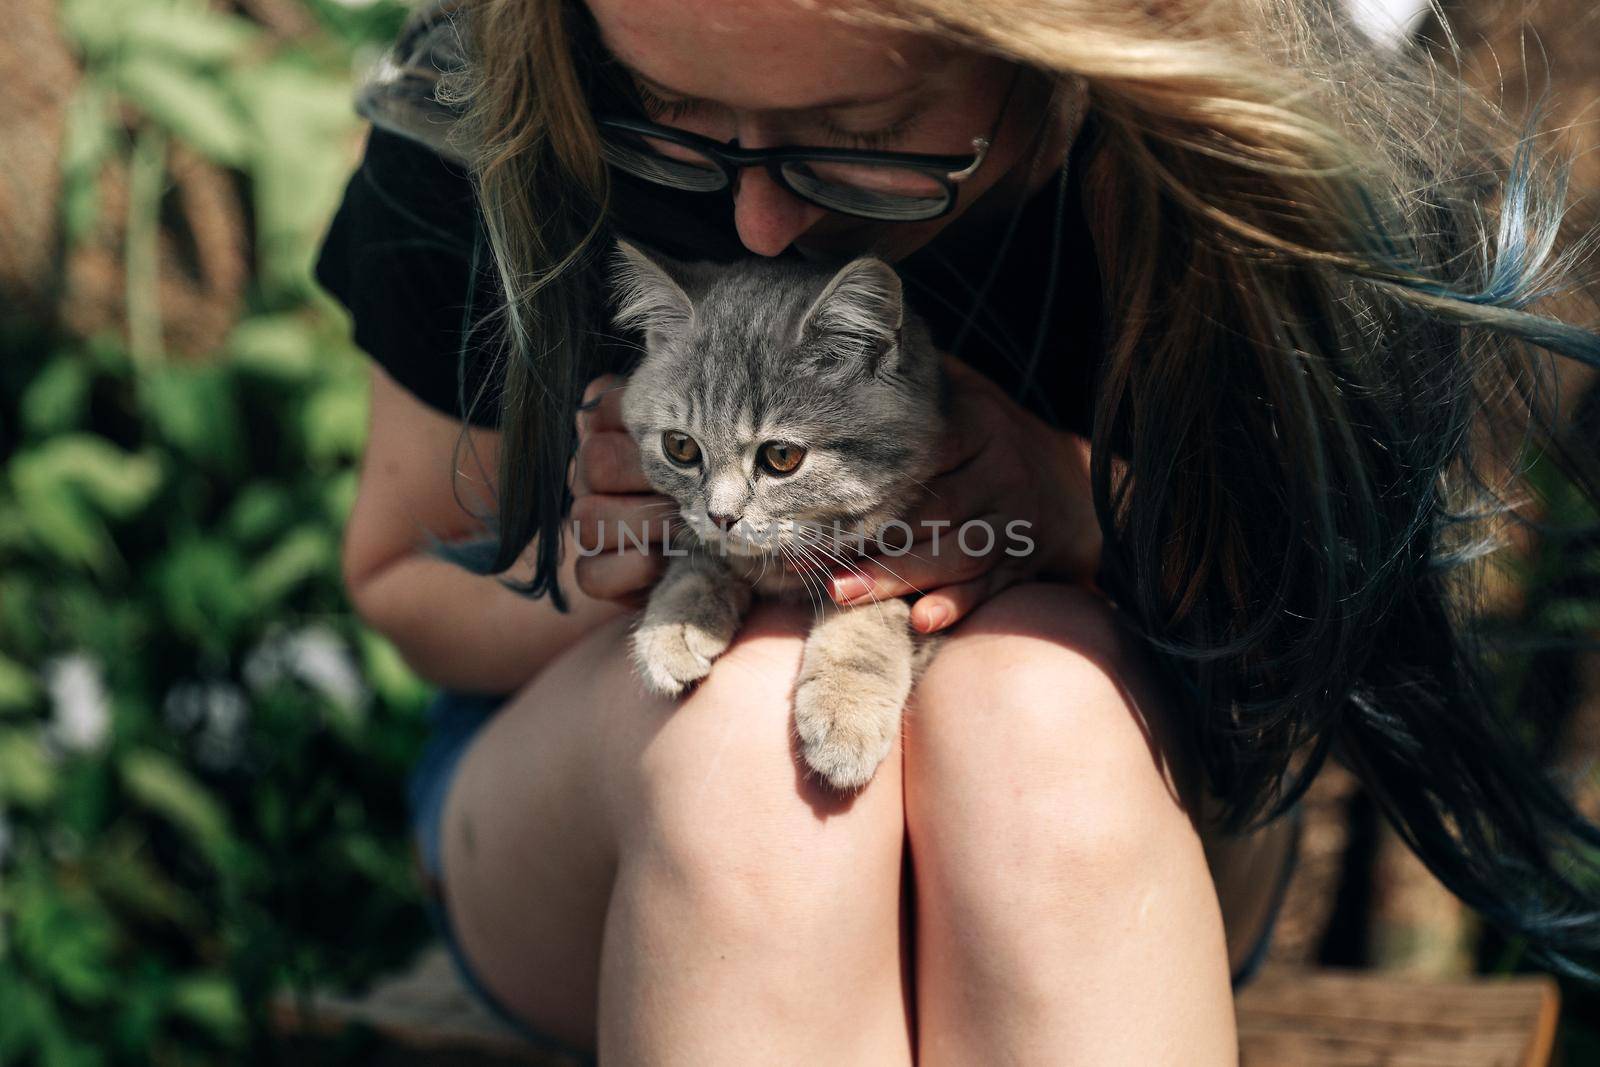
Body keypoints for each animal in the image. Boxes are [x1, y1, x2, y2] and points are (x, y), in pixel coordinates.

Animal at [608, 241, 934, 793]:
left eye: (781, 456)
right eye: (680, 447)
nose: (722, 515)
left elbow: (874, 609)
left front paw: (847, 708)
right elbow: (700, 557)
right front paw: (676, 623)